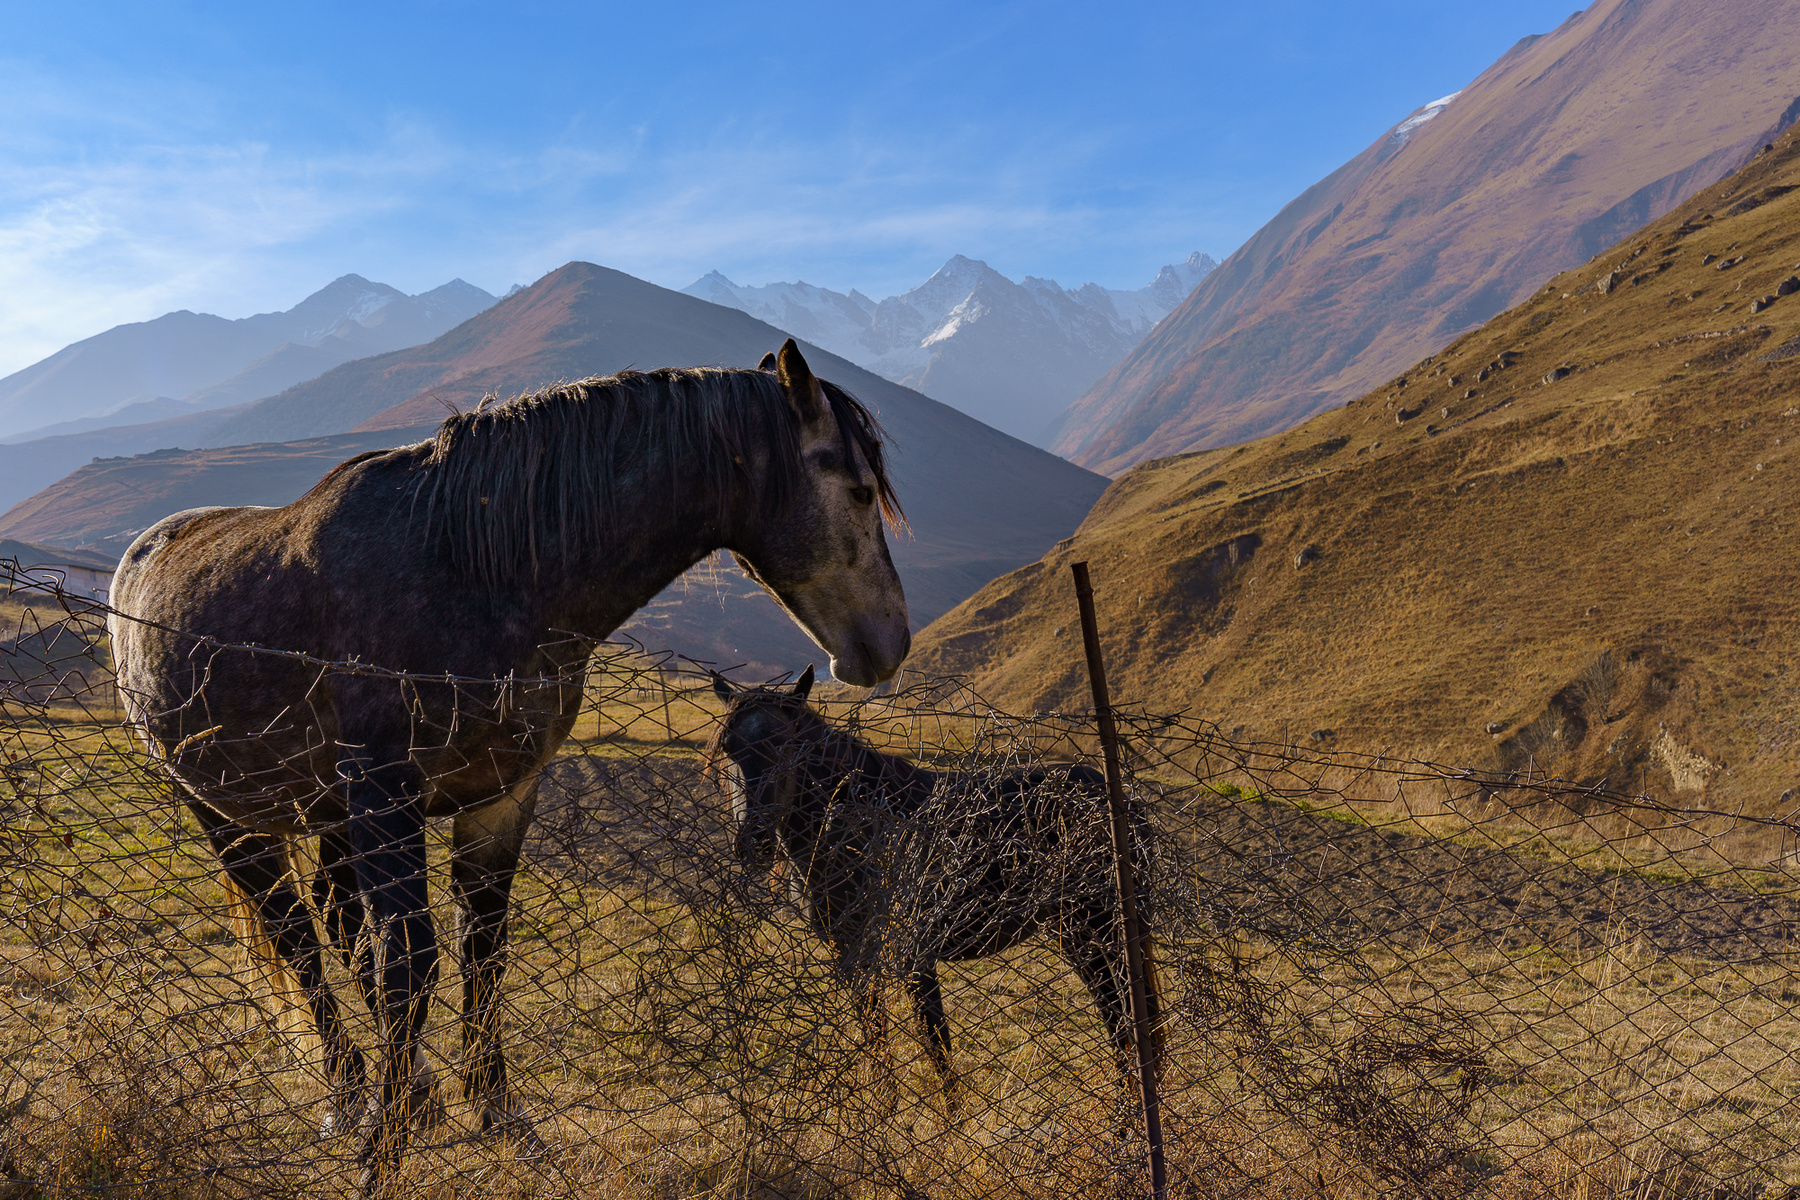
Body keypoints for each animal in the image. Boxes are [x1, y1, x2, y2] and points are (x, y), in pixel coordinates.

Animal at [107, 340, 910, 1194]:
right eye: (858, 490)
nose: (888, 645)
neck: (478, 572)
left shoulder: (502, 794)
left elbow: (481, 951)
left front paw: (499, 1118)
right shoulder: (386, 796)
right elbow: (409, 966)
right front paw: (381, 1157)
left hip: (329, 815)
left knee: (339, 921)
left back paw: (411, 1094)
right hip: (226, 811)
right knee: (296, 937)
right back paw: (350, 1098)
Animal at [705, 667, 1160, 1104]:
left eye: (789, 747)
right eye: (728, 748)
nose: (754, 842)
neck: (857, 825)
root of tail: (1119, 799)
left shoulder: (913, 955)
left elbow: (935, 1043)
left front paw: (952, 1122)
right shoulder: (851, 954)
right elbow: (875, 1034)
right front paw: (884, 1111)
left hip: (1096, 933)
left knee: (1123, 1020)